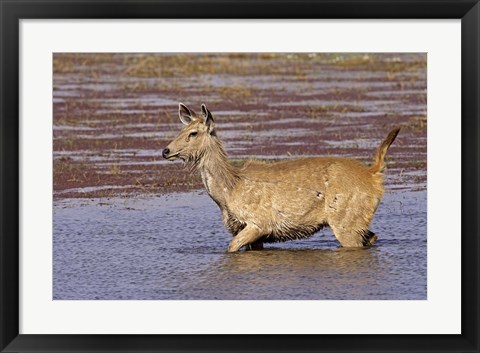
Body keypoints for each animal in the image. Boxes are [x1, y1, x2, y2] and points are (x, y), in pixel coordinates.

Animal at [163, 103, 400, 252]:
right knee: (372, 236)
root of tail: (372, 174)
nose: (165, 151)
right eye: (180, 129)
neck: (228, 192)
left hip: (346, 218)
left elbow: (230, 248)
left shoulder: (259, 223)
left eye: (193, 133)